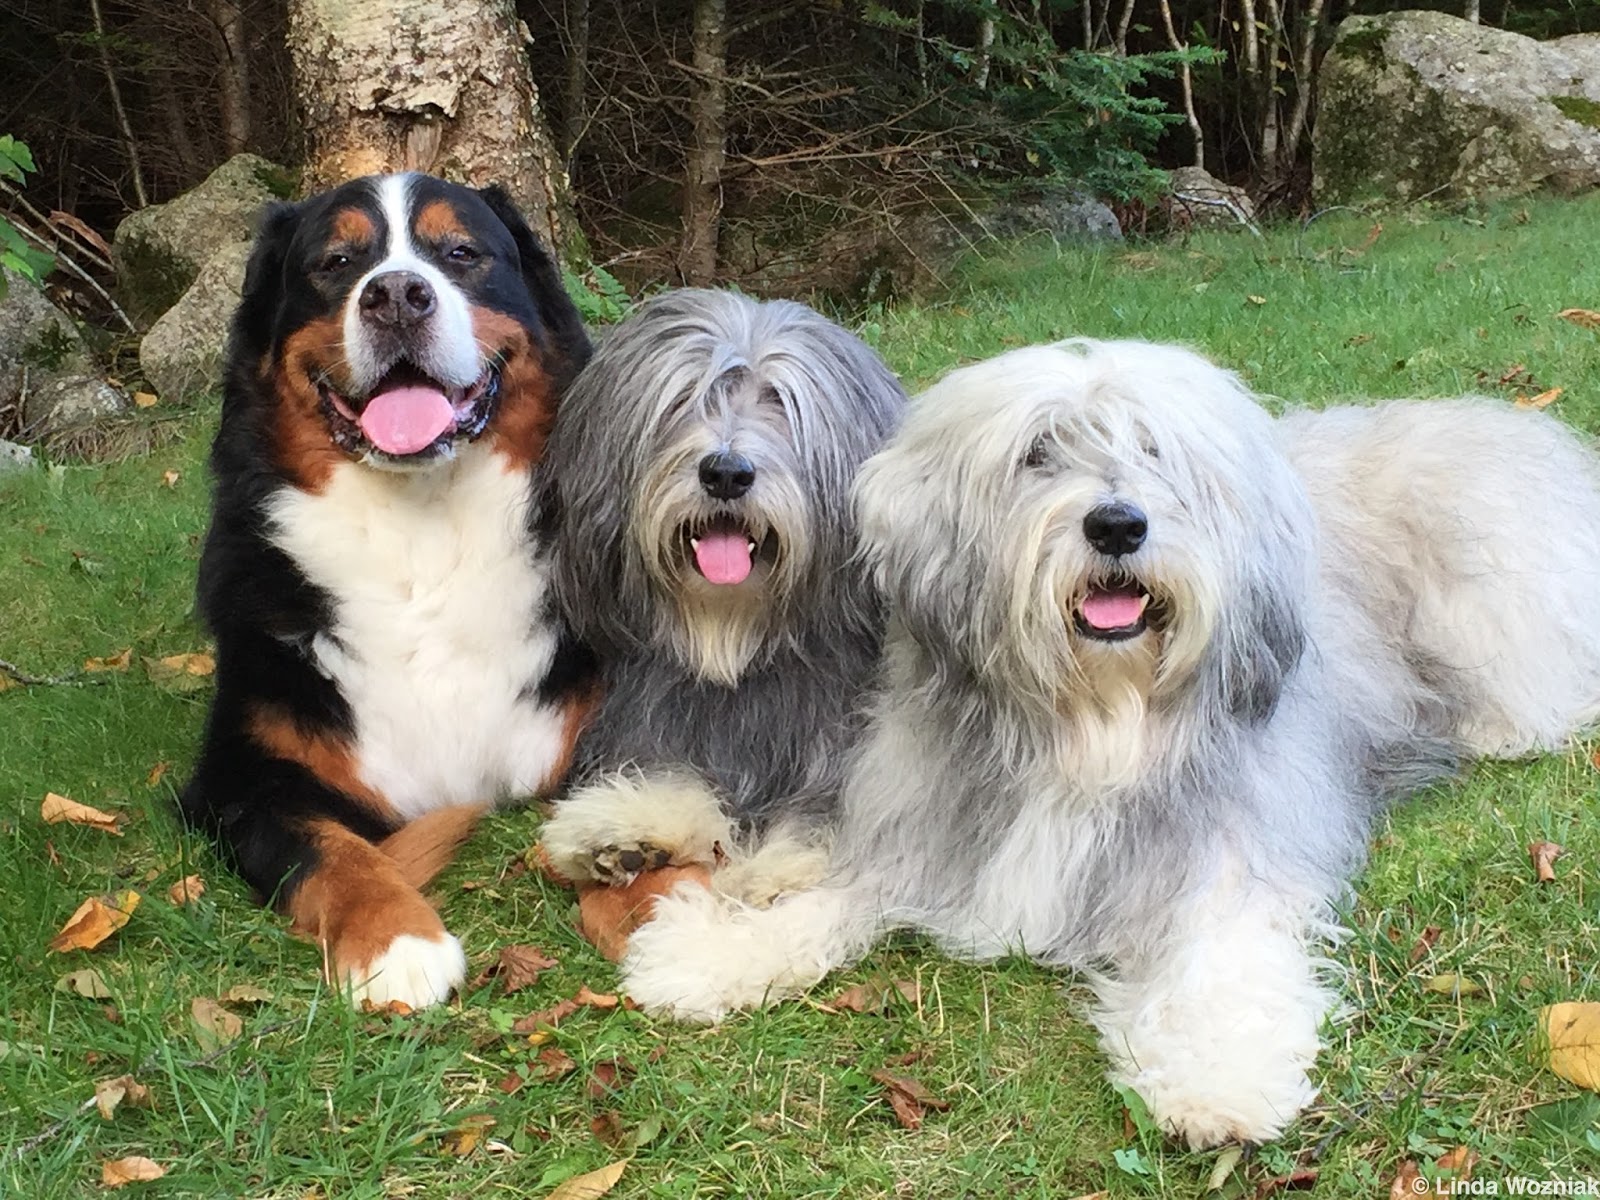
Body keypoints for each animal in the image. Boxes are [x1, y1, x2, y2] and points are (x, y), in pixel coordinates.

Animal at [180, 173, 595, 1010]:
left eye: (461, 252)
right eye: (335, 261)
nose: (398, 295)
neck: (422, 539)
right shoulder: (240, 777)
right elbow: (329, 848)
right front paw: (396, 940)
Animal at [536, 289, 905, 911]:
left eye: (780, 399)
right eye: (684, 397)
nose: (727, 472)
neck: (738, 639)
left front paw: (779, 869)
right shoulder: (659, 709)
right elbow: (669, 770)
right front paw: (628, 827)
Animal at [612, 338, 1600, 1147]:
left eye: (1156, 451)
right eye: (1038, 452)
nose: (1118, 524)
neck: (1095, 721)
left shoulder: (1235, 847)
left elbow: (1222, 951)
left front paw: (1217, 1072)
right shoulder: (932, 831)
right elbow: (837, 898)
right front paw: (714, 954)